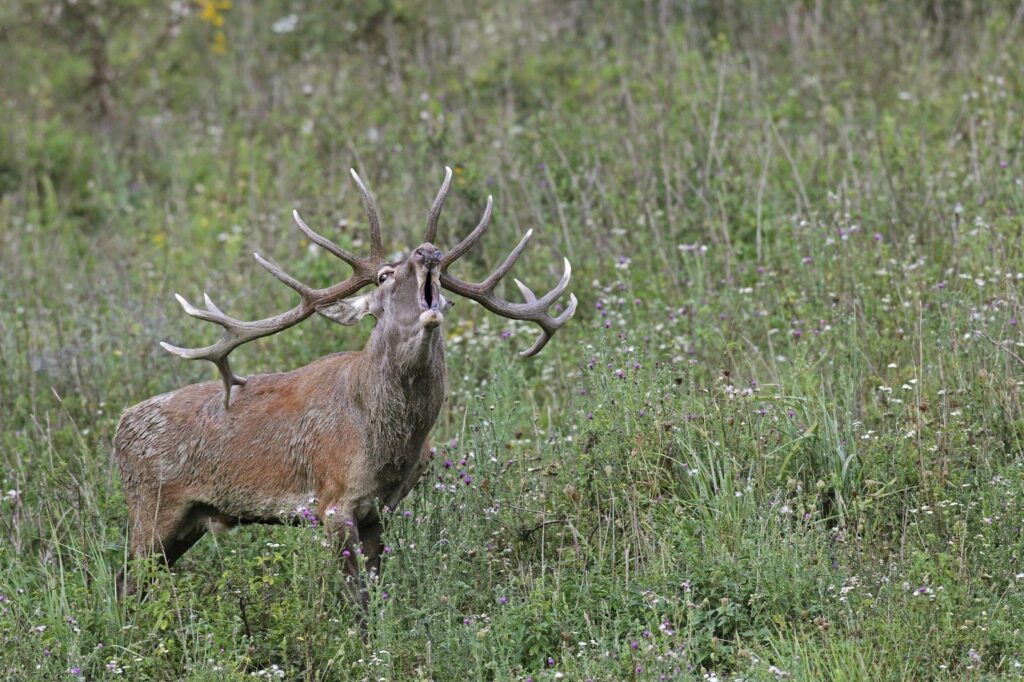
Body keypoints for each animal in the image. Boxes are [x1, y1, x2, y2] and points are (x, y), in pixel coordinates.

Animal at [113, 167, 576, 604]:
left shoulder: (382, 508)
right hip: (152, 505)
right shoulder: (334, 501)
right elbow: (358, 597)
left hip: (188, 520)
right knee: (125, 581)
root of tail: (119, 429)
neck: (384, 441)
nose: (429, 252)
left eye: (443, 279)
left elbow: (376, 590)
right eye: (385, 276)